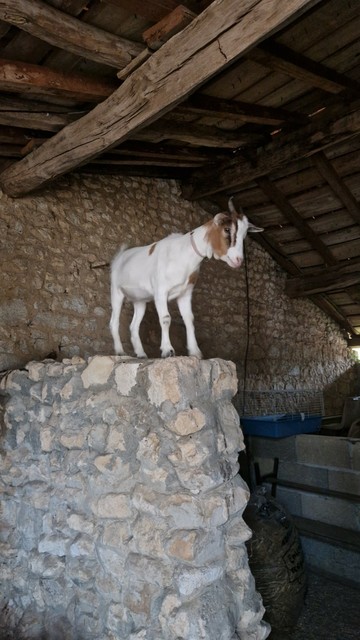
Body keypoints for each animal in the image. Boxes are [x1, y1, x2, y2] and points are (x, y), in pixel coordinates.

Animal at [109, 199, 262, 360]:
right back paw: (120, 351)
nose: (238, 260)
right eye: (227, 229)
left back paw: (141, 354)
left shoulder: (185, 293)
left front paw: (195, 352)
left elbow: (189, 319)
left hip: (140, 300)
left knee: (134, 325)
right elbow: (165, 318)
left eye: (244, 235)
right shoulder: (160, 292)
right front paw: (167, 350)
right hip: (116, 291)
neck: (183, 254)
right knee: (114, 322)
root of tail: (120, 257)